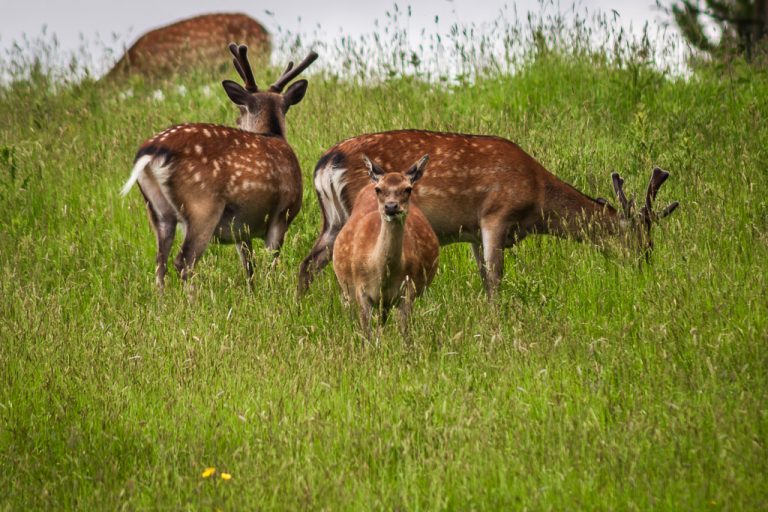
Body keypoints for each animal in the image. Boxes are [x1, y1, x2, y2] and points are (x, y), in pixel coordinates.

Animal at [121, 43, 318, 290]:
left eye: (241, 109)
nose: (237, 121)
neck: (273, 134)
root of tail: (150, 153)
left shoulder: (241, 228)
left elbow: (249, 267)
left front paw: (253, 293)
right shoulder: (282, 214)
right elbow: (270, 265)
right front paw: (269, 291)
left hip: (157, 211)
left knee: (160, 264)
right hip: (202, 205)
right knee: (183, 261)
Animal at [299, 130, 679, 298]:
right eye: (642, 242)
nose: (645, 269)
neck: (537, 197)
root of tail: (325, 164)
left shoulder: (470, 230)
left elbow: (483, 275)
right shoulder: (496, 214)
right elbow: (496, 277)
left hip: (331, 218)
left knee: (307, 264)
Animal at [333, 155, 439, 339]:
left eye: (408, 189)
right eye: (379, 189)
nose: (391, 206)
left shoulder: (407, 290)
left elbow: (405, 332)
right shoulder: (361, 290)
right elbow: (366, 332)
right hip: (348, 290)